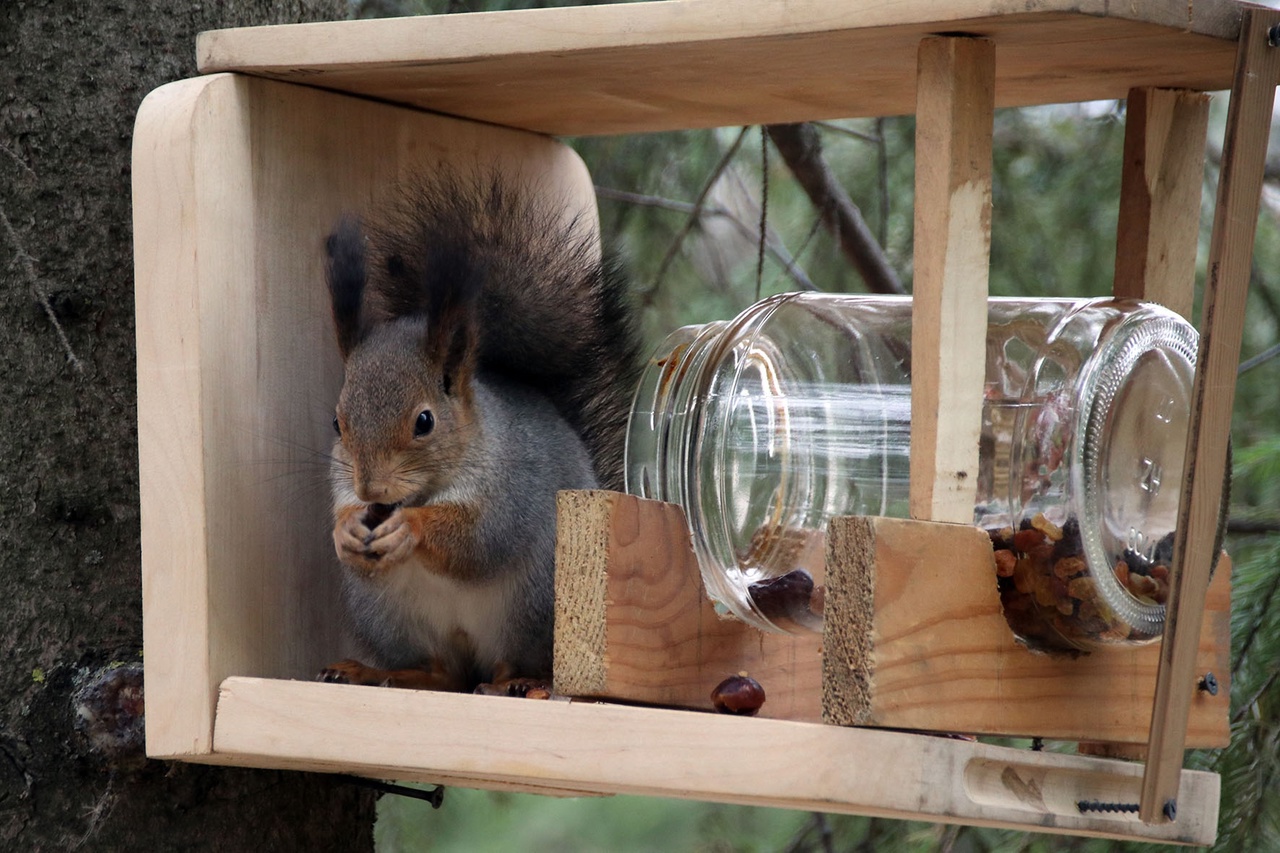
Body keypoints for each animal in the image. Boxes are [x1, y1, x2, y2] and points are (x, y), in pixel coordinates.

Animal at [313, 167, 640, 691]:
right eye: (336, 422)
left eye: (424, 421)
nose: (371, 490)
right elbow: (342, 515)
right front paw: (345, 530)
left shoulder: (511, 490)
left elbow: (478, 539)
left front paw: (408, 527)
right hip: (388, 613)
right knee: (441, 672)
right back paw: (373, 671)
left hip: (531, 606)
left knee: (508, 662)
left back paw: (518, 683)